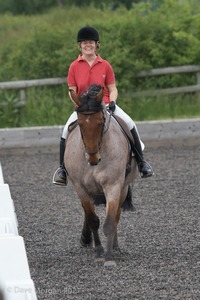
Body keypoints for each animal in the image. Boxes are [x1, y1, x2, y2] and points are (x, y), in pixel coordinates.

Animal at [63, 84, 138, 268]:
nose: (93, 158)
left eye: (101, 122)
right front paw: (98, 251)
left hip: (123, 187)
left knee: (117, 214)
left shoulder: (113, 186)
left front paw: (109, 256)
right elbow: (93, 220)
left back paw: (115, 246)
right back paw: (86, 239)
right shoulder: (81, 188)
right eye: (80, 124)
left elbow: (110, 222)